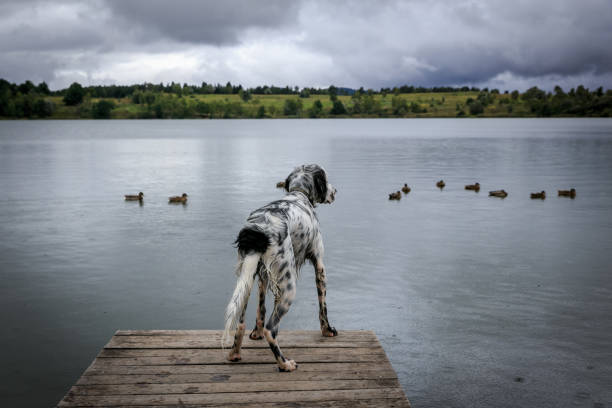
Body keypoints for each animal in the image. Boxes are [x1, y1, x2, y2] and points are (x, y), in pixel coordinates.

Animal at [224, 164, 340, 372]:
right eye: (326, 180)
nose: (335, 191)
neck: (299, 194)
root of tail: (258, 230)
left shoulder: (263, 276)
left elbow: (260, 309)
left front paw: (256, 333)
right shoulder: (319, 263)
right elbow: (323, 306)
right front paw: (328, 330)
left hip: (247, 277)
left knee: (240, 323)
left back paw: (235, 353)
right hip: (289, 286)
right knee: (271, 329)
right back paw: (285, 364)